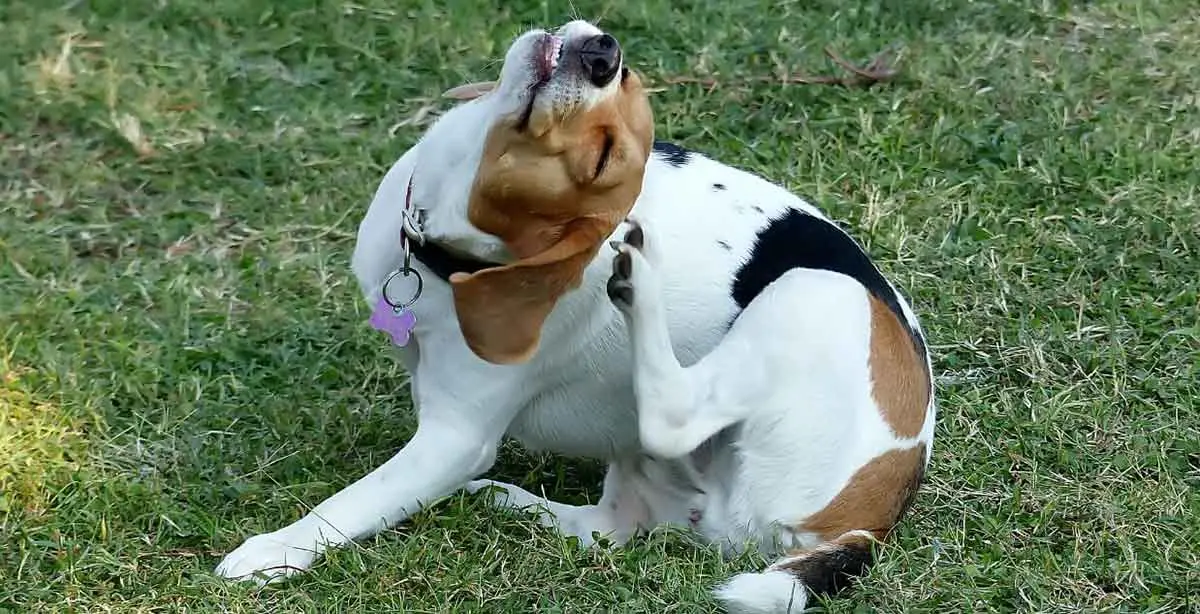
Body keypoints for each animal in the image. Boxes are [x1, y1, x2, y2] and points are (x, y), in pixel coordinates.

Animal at [218, 19, 936, 614]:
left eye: (599, 159)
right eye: (627, 77)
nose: (603, 54)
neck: (441, 250)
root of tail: (869, 523)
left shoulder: (454, 437)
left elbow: (353, 502)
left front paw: (273, 552)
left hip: (815, 292)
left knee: (673, 416)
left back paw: (638, 282)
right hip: (646, 470)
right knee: (608, 529)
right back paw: (507, 501)